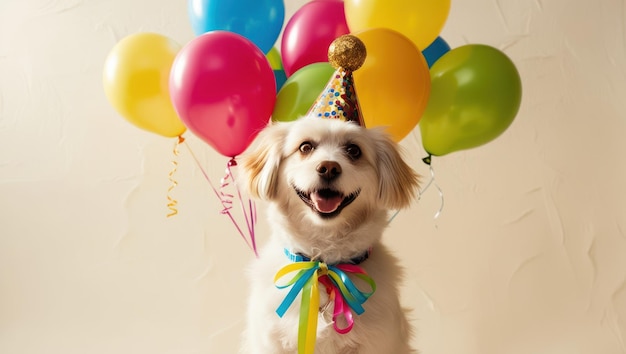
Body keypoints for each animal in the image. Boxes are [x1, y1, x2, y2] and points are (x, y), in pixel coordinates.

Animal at [239, 115, 420, 352]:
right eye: (305, 147)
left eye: (354, 150)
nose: (329, 167)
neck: (324, 265)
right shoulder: (268, 342)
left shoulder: (379, 342)